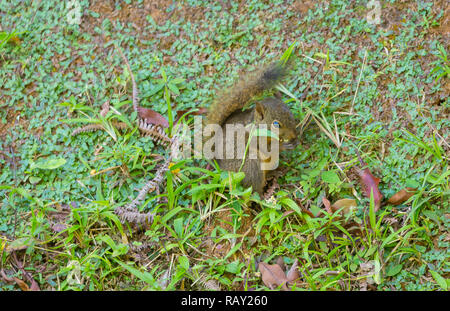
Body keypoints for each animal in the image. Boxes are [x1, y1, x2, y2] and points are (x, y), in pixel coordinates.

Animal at [205, 60, 298, 195]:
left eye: (290, 113)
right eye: (276, 124)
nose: (294, 135)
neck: (257, 126)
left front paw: (295, 142)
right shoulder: (254, 139)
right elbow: (267, 149)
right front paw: (284, 145)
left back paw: (276, 172)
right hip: (251, 165)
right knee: (253, 190)